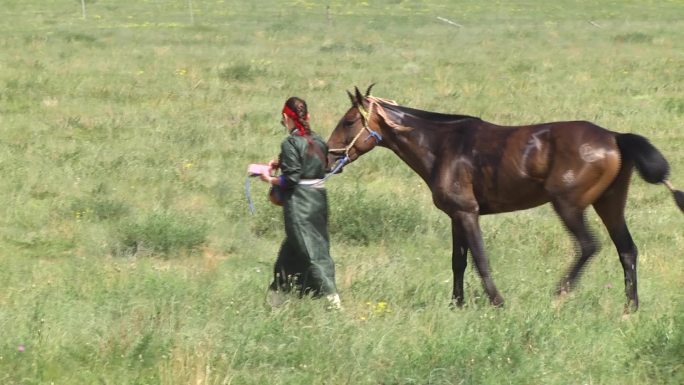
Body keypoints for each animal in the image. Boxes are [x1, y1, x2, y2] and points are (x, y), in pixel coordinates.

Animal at [328, 85, 684, 310]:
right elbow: (458, 262)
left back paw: (559, 294)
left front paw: (498, 302)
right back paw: (630, 308)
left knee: (588, 246)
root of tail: (614, 136)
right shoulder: (456, 216)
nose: (330, 154)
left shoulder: (468, 213)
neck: (442, 146)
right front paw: (455, 305)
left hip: (568, 206)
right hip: (609, 204)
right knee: (627, 250)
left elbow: (480, 259)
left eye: (349, 121)